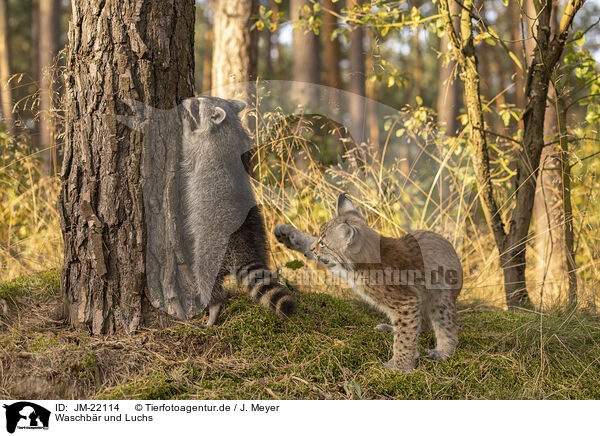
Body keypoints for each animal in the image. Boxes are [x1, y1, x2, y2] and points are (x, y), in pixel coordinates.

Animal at [180, 97, 298, 326]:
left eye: (198, 103)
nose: (185, 100)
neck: (229, 125)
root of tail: (245, 247)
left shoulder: (203, 149)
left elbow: (188, 150)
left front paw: (185, 125)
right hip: (261, 237)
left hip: (212, 246)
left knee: (205, 274)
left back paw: (214, 305)